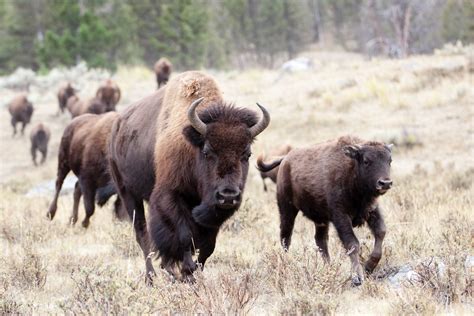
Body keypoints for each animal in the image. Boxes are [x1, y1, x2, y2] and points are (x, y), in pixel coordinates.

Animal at [108, 70, 270, 282]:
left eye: (247, 154)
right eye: (207, 151)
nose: (228, 195)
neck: (192, 148)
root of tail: (117, 126)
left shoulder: (212, 213)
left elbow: (208, 246)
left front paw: (194, 273)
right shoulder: (170, 196)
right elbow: (185, 236)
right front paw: (187, 272)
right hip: (128, 193)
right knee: (142, 233)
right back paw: (151, 277)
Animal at [258, 136, 394, 286]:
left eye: (389, 160)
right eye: (366, 161)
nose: (385, 183)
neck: (351, 169)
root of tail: (285, 159)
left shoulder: (371, 210)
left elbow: (381, 232)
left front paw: (369, 267)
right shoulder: (340, 216)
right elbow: (353, 243)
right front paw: (357, 278)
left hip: (320, 220)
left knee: (320, 240)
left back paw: (329, 267)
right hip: (287, 209)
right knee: (286, 237)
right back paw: (286, 263)